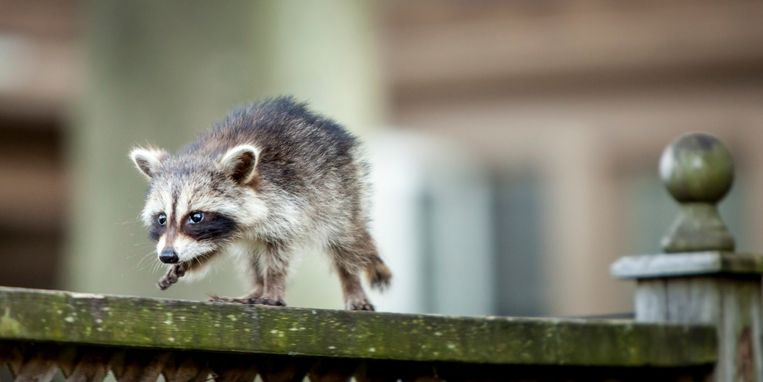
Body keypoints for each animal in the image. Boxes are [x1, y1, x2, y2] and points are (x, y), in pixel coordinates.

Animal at [129, 96, 390, 310]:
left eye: (196, 217)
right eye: (162, 218)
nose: (168, 255)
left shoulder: (287, 205)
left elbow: (279, 252)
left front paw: (273, 287)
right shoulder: (220, 233)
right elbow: (213, 249)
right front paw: (189, 262)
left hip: (342, 192)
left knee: (345, 241)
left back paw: (351, 283)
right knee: (251, 257)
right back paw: (255, 288)